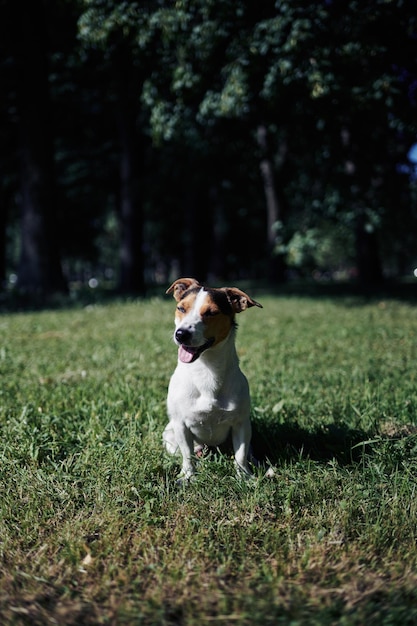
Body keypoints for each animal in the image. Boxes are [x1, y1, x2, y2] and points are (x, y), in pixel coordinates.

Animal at [162, 276, 262, 478]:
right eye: (181, 308)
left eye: (211, 313)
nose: (181, 334)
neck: (206, 370)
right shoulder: (181, 425)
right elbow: (187, 455)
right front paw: (187, 476)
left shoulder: (241, 424)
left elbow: (240, 455)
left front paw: (244, 476)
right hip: (169, 433)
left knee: (248, 451)